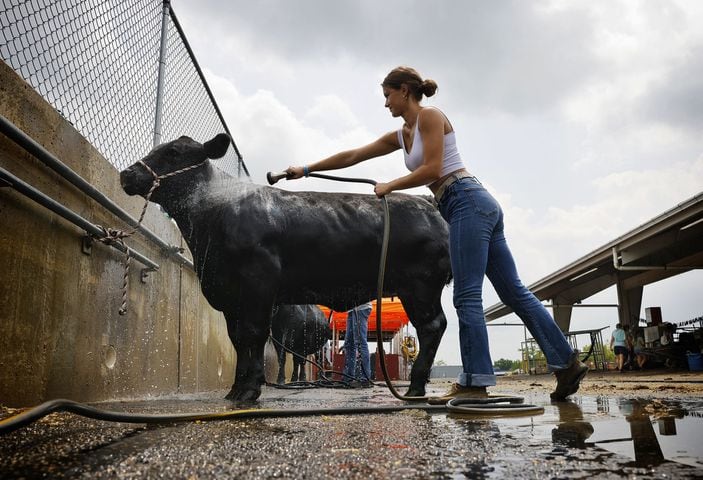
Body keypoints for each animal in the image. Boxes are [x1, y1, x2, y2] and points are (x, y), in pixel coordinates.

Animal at [119, 133, 452, 404]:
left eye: (173, 152)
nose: (126, 174)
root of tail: (427, 204)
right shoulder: (230, 297)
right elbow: (237, 340)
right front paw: (235, 389)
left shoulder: (257, 286)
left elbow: (252, 334)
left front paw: (250, 390)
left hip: (421, 287)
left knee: (432, 327)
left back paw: (416, 386)